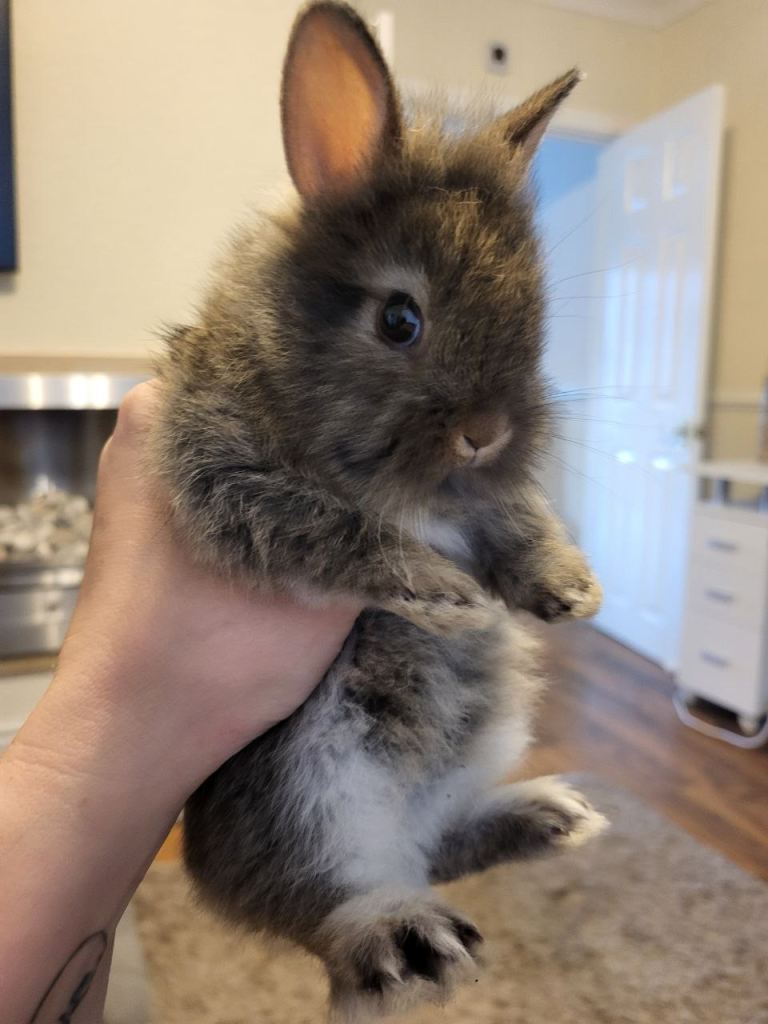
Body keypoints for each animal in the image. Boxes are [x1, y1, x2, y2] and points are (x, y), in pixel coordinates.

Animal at [153, 2, 607, 1019]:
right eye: (400, 320)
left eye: (535, 324)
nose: (486, 431)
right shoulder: (227, 473)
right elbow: (329, 530)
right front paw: (446, 593)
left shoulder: (489, 501)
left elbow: (515, 519)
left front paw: (567, 591)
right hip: (310, 793)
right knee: (336, 901)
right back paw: (408, 938)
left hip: (482, 740)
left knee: (445, 840)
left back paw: (555, 815)